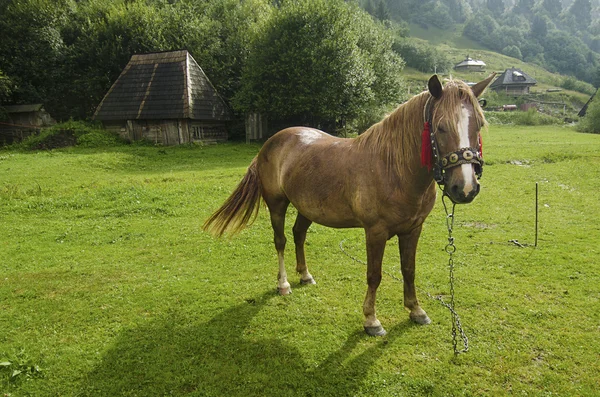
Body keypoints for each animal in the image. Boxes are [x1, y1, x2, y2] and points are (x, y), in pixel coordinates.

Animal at [204, 74, 494, 334]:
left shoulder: (413, 229)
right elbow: (374, 275)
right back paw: (284, 284)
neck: (393, 168)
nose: (465, 188)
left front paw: (416, 310)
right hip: (277, 204)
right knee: (281, 242)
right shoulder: (375, 232)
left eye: (479, 124)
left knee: (299, 234)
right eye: (441, 127)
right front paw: (371, 320)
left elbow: (409, 270)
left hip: (306, 206)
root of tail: (270, 143)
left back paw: (305, 275)